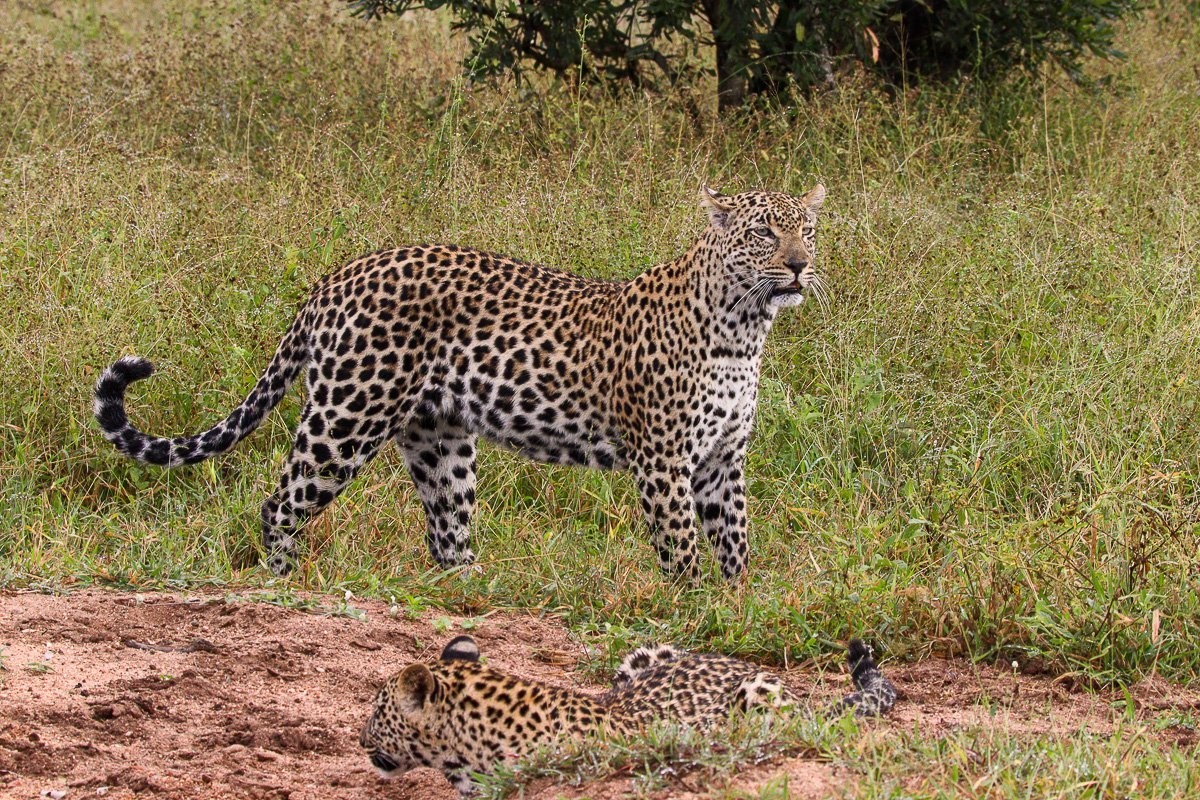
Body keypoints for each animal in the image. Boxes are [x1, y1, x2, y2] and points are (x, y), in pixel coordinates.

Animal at [93, 184, 827, 580]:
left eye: (808, 229)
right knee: (280, 505)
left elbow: (734, 542)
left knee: (446, 535)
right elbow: (681, 549)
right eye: (765, 233)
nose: (799, 265)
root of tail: (336, 276)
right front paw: (691, 611)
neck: (743, 330)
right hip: (345, 417)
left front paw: (732, 604)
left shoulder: (723, 459)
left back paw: (475, 597)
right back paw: (285, 586)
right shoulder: (664, 460)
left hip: (438, 438)